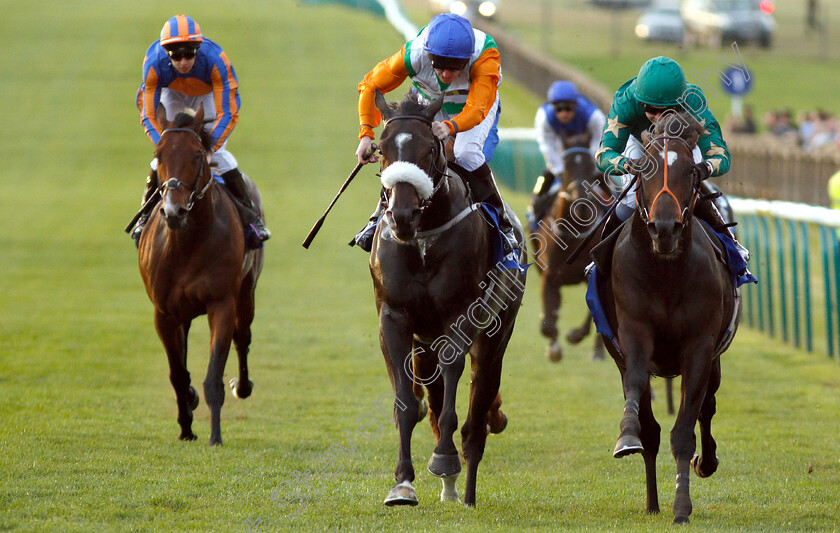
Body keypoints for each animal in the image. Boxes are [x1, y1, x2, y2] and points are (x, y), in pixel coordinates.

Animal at [138, 104, 264, 444]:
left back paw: (243, 386)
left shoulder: (221, 303)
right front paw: (185, 427)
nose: (174, 211)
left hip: (247, 290)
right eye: (158, 154)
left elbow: (213, 376)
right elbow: (178, 374)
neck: (188, 243)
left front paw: (215, 437)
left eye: (197, 155)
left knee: (243, 336)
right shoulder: (164, 313)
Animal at [370, 91, 524, 508]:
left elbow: (455, 404)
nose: (402, 215)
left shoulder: (461, 315)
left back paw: (464, 488)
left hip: (495, 335)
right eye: (382, 149)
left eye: (427, 150)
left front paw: (444, 460)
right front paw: (402, 484)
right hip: (425, 344)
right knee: (436, 399)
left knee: (476, 415)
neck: (424, 238)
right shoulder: (394, 318)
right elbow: (408, 404)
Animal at [592, 110, 740, 520]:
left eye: (690, 171)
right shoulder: (633, 334)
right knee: (652, 426)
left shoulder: (700, 348)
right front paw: (627, 435)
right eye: (643, 170)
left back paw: (705, 464)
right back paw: (652, 502)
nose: (664, 228)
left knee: (708, 406)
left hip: (715, 359)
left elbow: (685, 431)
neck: (665, 273)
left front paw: (682, 505)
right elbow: (641, 408)